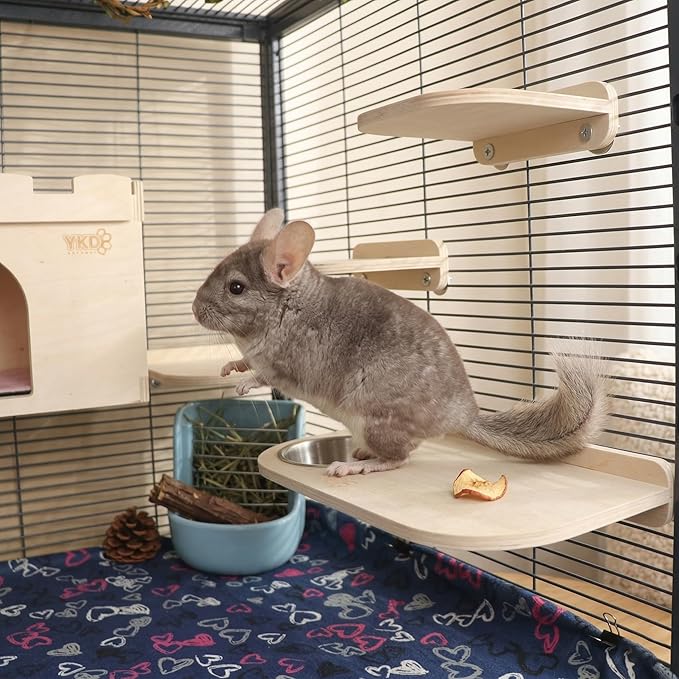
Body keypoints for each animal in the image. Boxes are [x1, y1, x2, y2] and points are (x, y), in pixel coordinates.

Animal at [193, 209, 608, 477]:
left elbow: (263, 376)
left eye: (235, 287)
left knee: (400, 458)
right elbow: (246, 363)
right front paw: (230, 367)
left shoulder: (288, 364)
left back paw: (351, 466)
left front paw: (243, 384)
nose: (194, 309)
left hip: (374, 417)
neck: (285, 309)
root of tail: (464, 417)